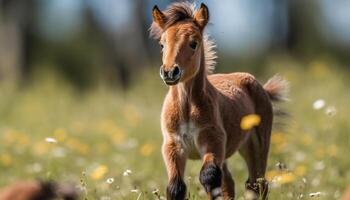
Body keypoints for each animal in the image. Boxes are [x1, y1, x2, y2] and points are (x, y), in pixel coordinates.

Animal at [149, 1, 288, 200]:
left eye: (194, 43)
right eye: (162, 44)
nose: (169, 72)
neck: (187, 108)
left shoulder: (213, 139)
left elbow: (209, 177)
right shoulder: (172, 145)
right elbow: (176, 187)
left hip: (257, 143)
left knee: (257, 183)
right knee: (231, 183)